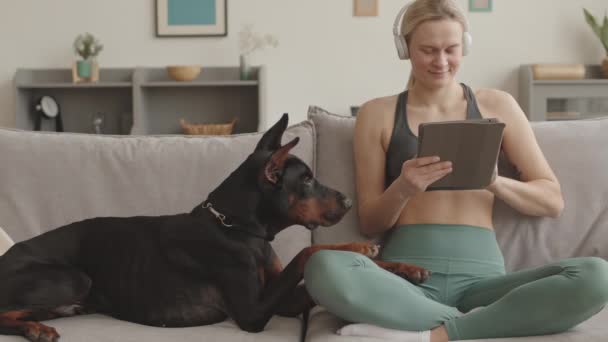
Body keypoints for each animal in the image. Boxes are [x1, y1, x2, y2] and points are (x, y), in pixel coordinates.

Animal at [0, 113, 428, 340]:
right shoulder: (253, 313)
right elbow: (309, 250)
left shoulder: (282, 298)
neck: (237, 229)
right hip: (73, 277)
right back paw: (35, 329)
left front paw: (405, 268)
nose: (350, 202)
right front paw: (360, 248)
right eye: (306, 180)